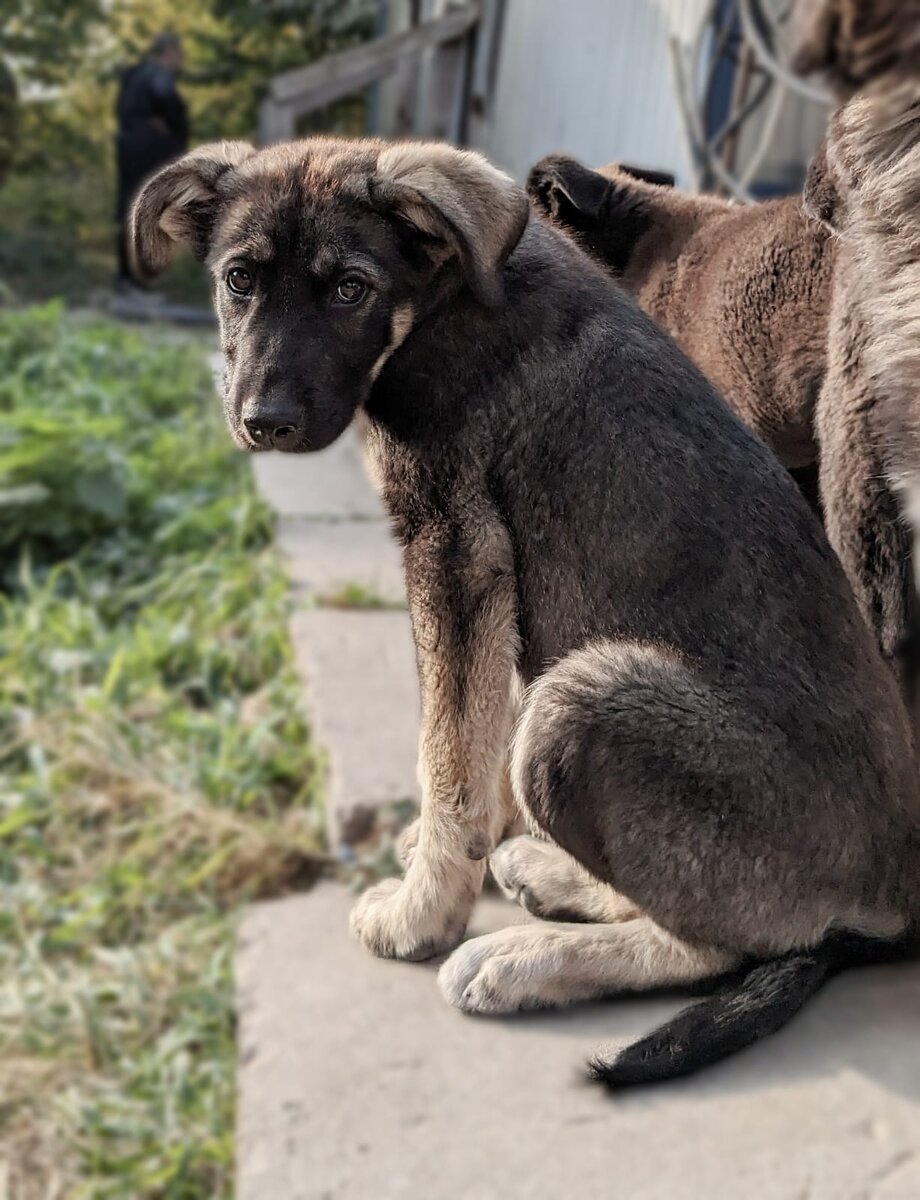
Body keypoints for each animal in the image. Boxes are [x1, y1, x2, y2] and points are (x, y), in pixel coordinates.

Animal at [129, 136, 920, 1084]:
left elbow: (451, 758)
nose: (265, 423)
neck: (439, 294)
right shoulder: (493, 580)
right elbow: (476, 735)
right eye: (239, 279)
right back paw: (556, 876)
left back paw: (525, 960)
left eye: (351, 288)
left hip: (581, 700)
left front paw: (420, 915)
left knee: (725, 945)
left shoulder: (454, 546)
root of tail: (895, 905)